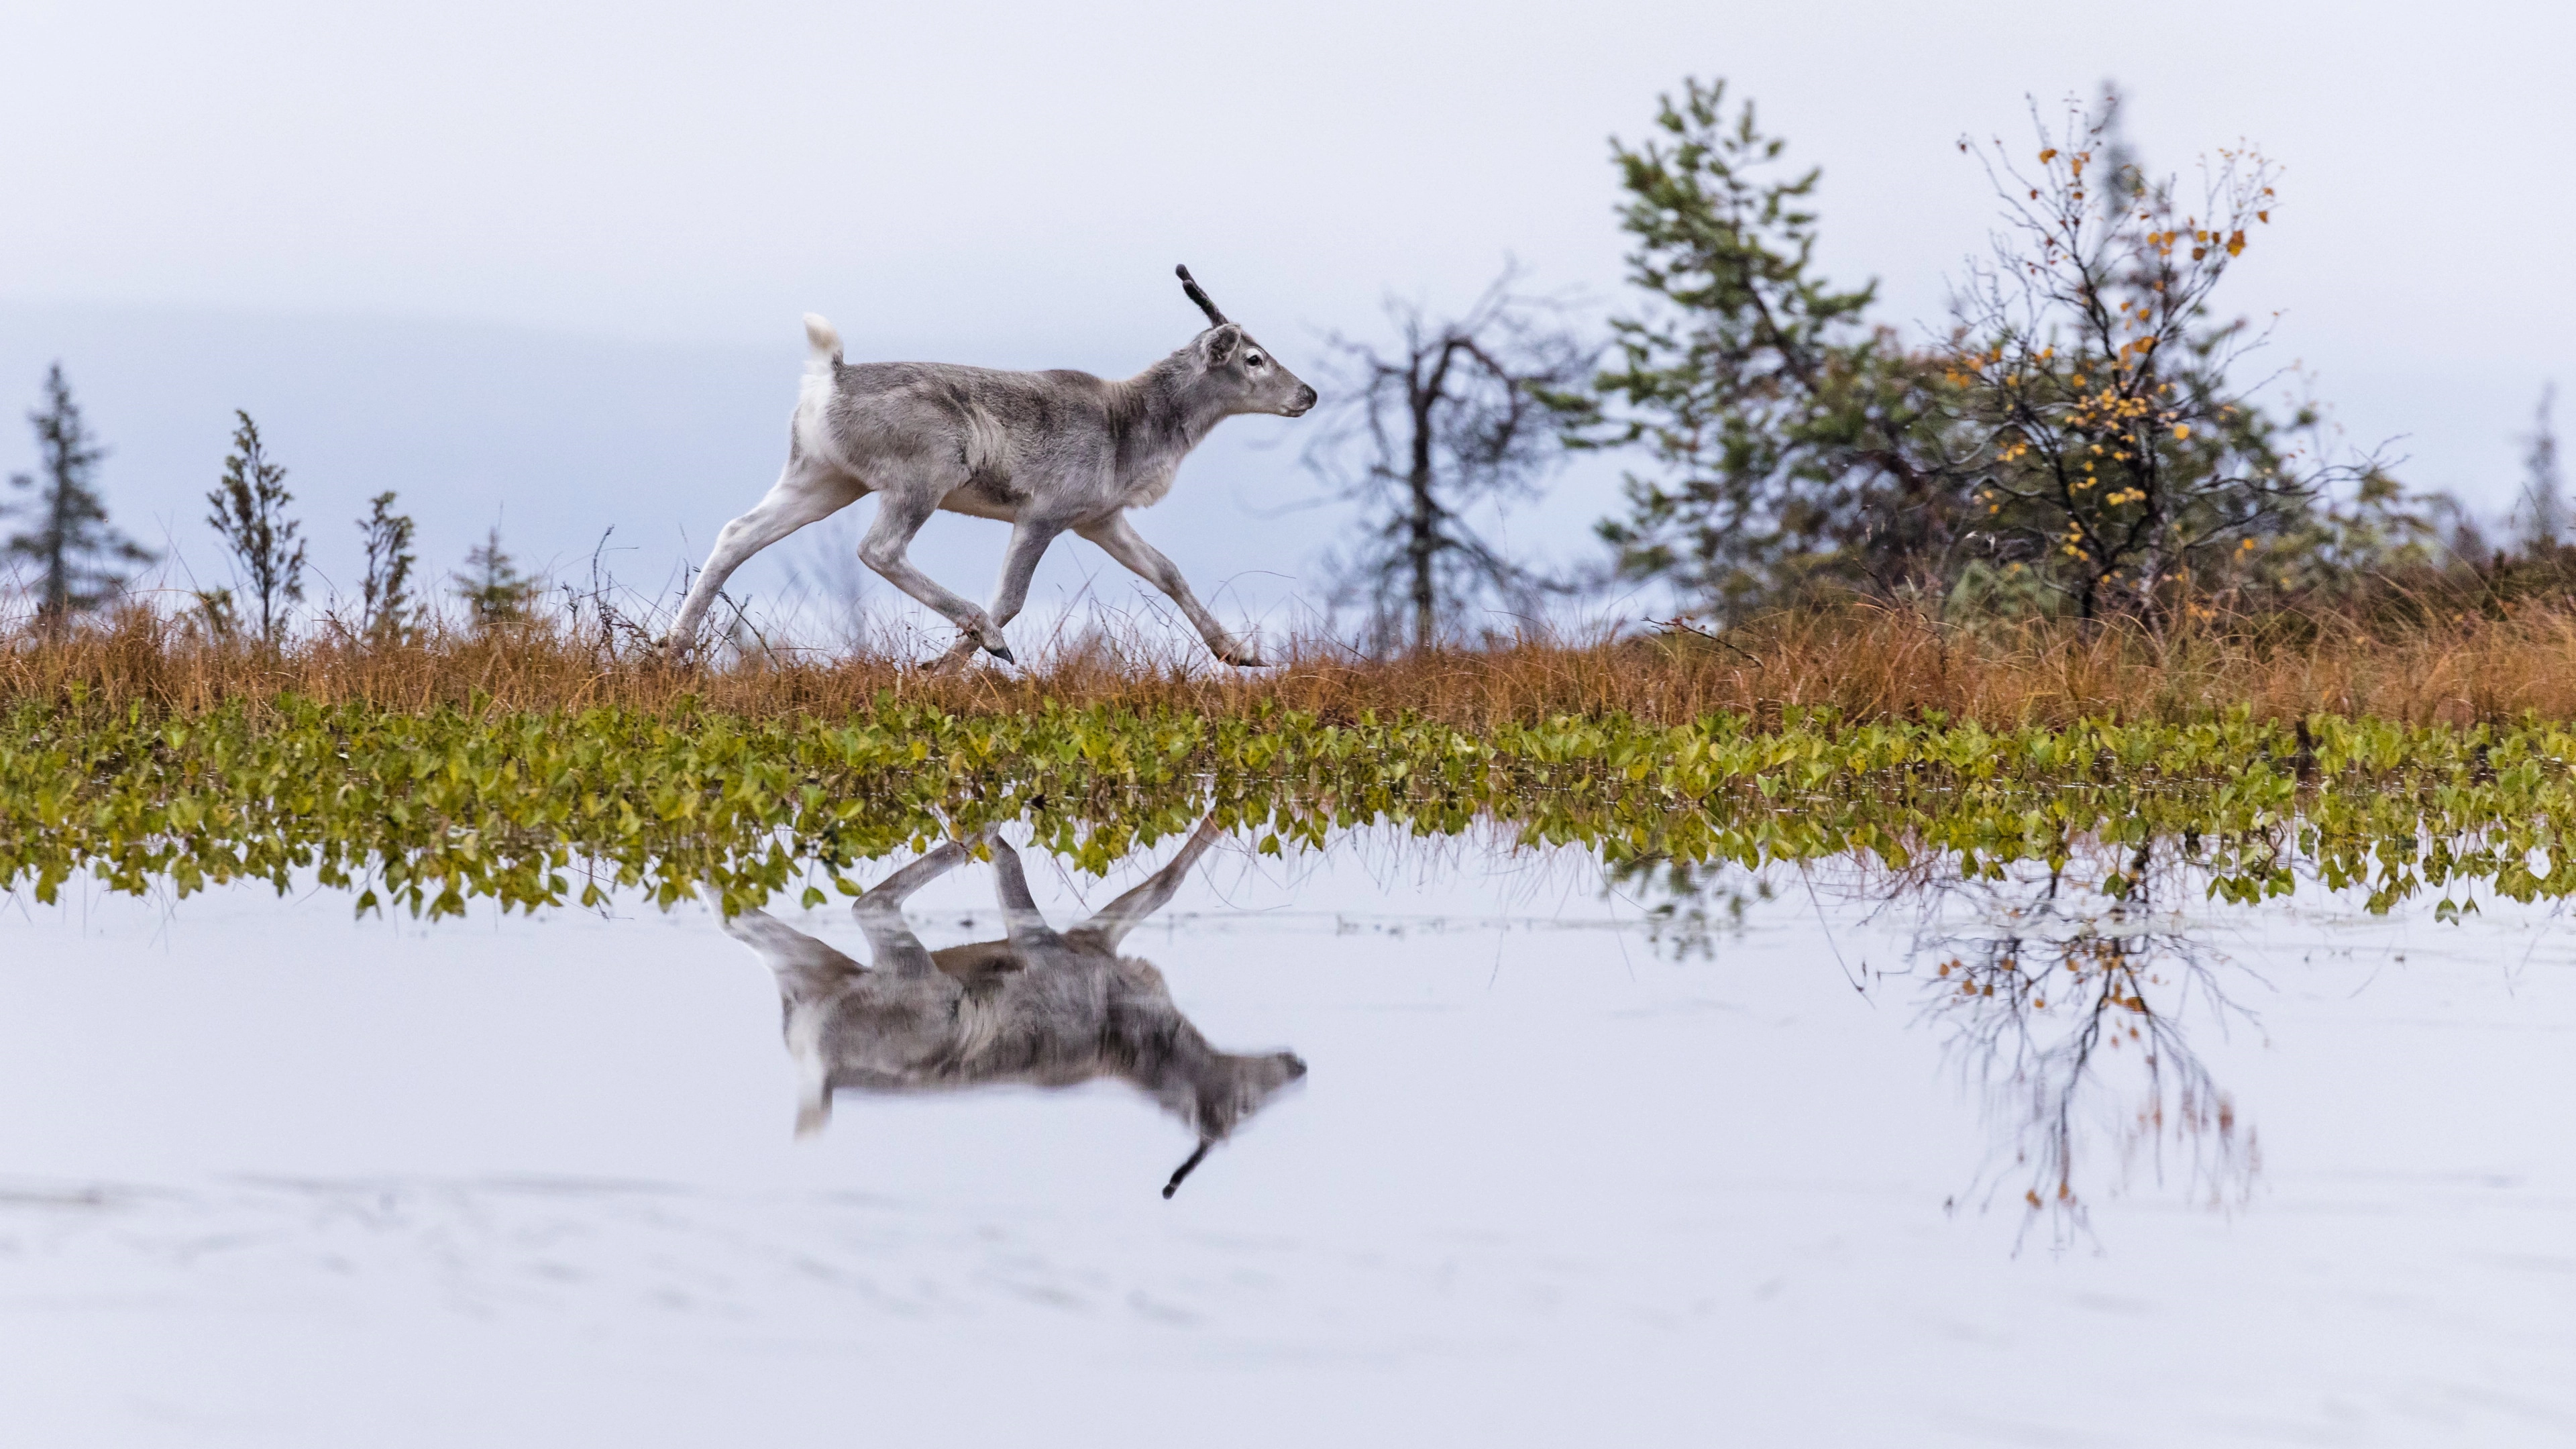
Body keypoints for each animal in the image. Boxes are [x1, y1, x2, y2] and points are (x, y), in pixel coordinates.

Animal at [664, 266, 1317, 670]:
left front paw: (1240, 653)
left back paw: (674, 649)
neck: (1132, 425)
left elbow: (1168, 572)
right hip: (919, 481)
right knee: (880, 550)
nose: (1308, 394)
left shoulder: (1100, 519)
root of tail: (829, 378)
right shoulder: (1043, 515)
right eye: (1254, 358)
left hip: (823, 480)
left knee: (738, 534)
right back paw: (989, 637)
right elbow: (1011, 600)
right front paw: (942, 667)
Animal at [701, 815, 1306, 1197]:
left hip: (807, 966)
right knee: (869, 899)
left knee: (733, 914)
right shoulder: (1047, 942)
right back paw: (984, 818)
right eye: (1242, 1109)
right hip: (916, 973)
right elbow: (1164, 882)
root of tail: (818, 1074)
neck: (1140, 1042)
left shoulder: (1089, 938)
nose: (1298, 1066)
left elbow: (1161, 885)